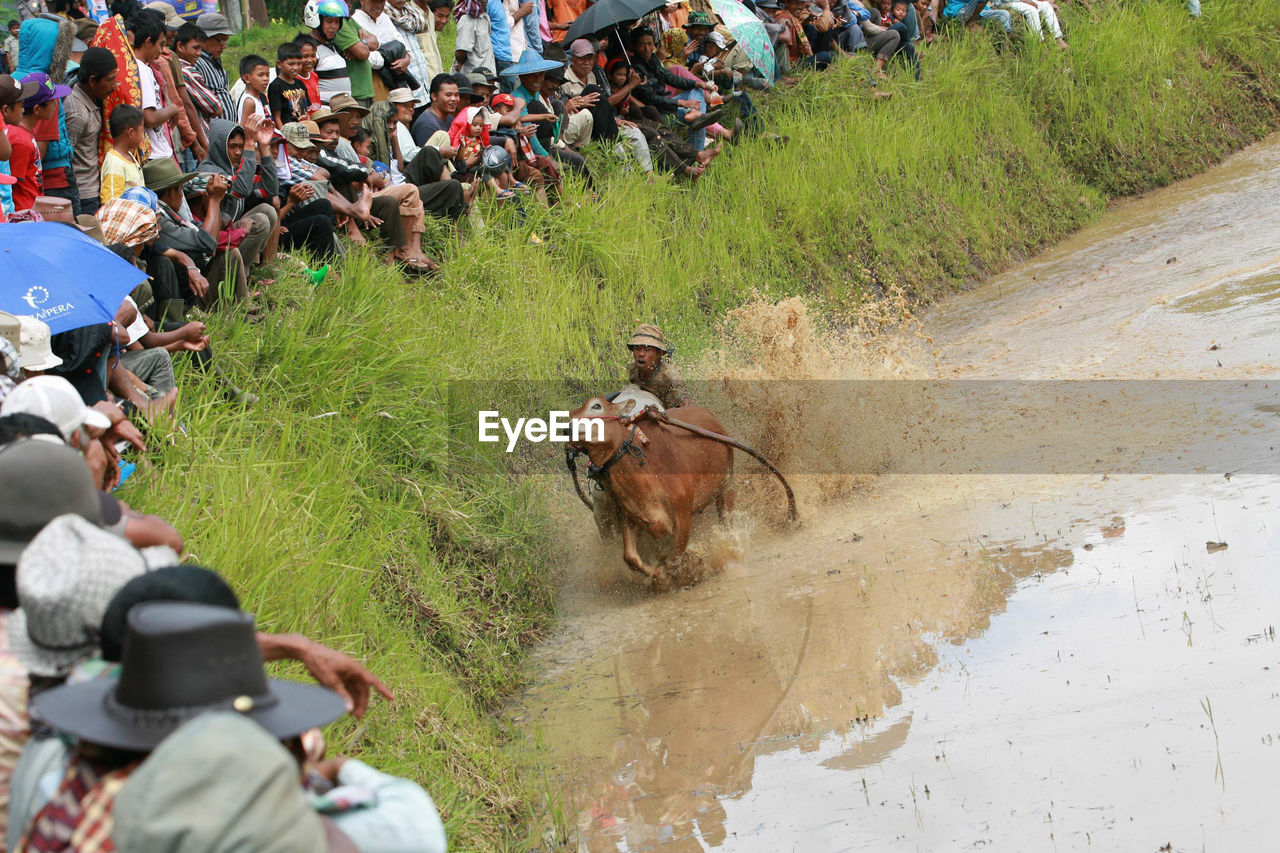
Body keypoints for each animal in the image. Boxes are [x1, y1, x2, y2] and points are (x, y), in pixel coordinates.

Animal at [568, 394, 732, 589]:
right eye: (570, 414)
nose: (567, 429)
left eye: (596, 406)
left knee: (726, 519)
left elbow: (676, 557)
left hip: (726, 486)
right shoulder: (629, 516)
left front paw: (687, 574)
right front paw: (659, 575)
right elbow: (630, 557)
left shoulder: (683, 514)